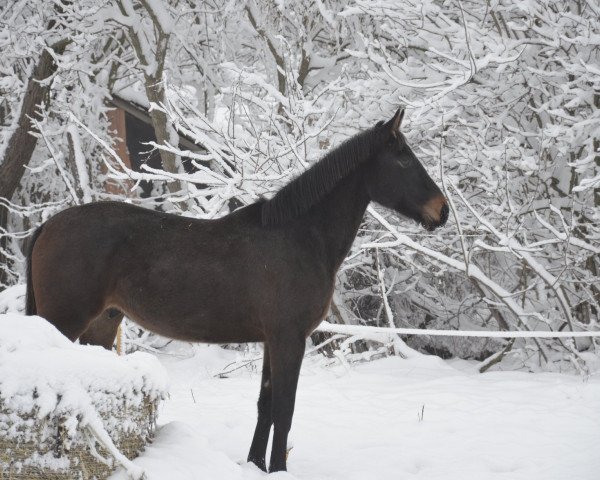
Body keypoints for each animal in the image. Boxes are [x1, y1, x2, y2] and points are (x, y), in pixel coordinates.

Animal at [25, 109, 446, 472]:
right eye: (404, 160)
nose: (441, 211)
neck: (299, 236)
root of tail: (48, 226)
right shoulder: (289, 338)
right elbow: (284, 410)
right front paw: (279, 469)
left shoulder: (271, 340)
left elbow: (265, 405)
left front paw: (257, 465)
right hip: (64, 321)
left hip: (102, 325)